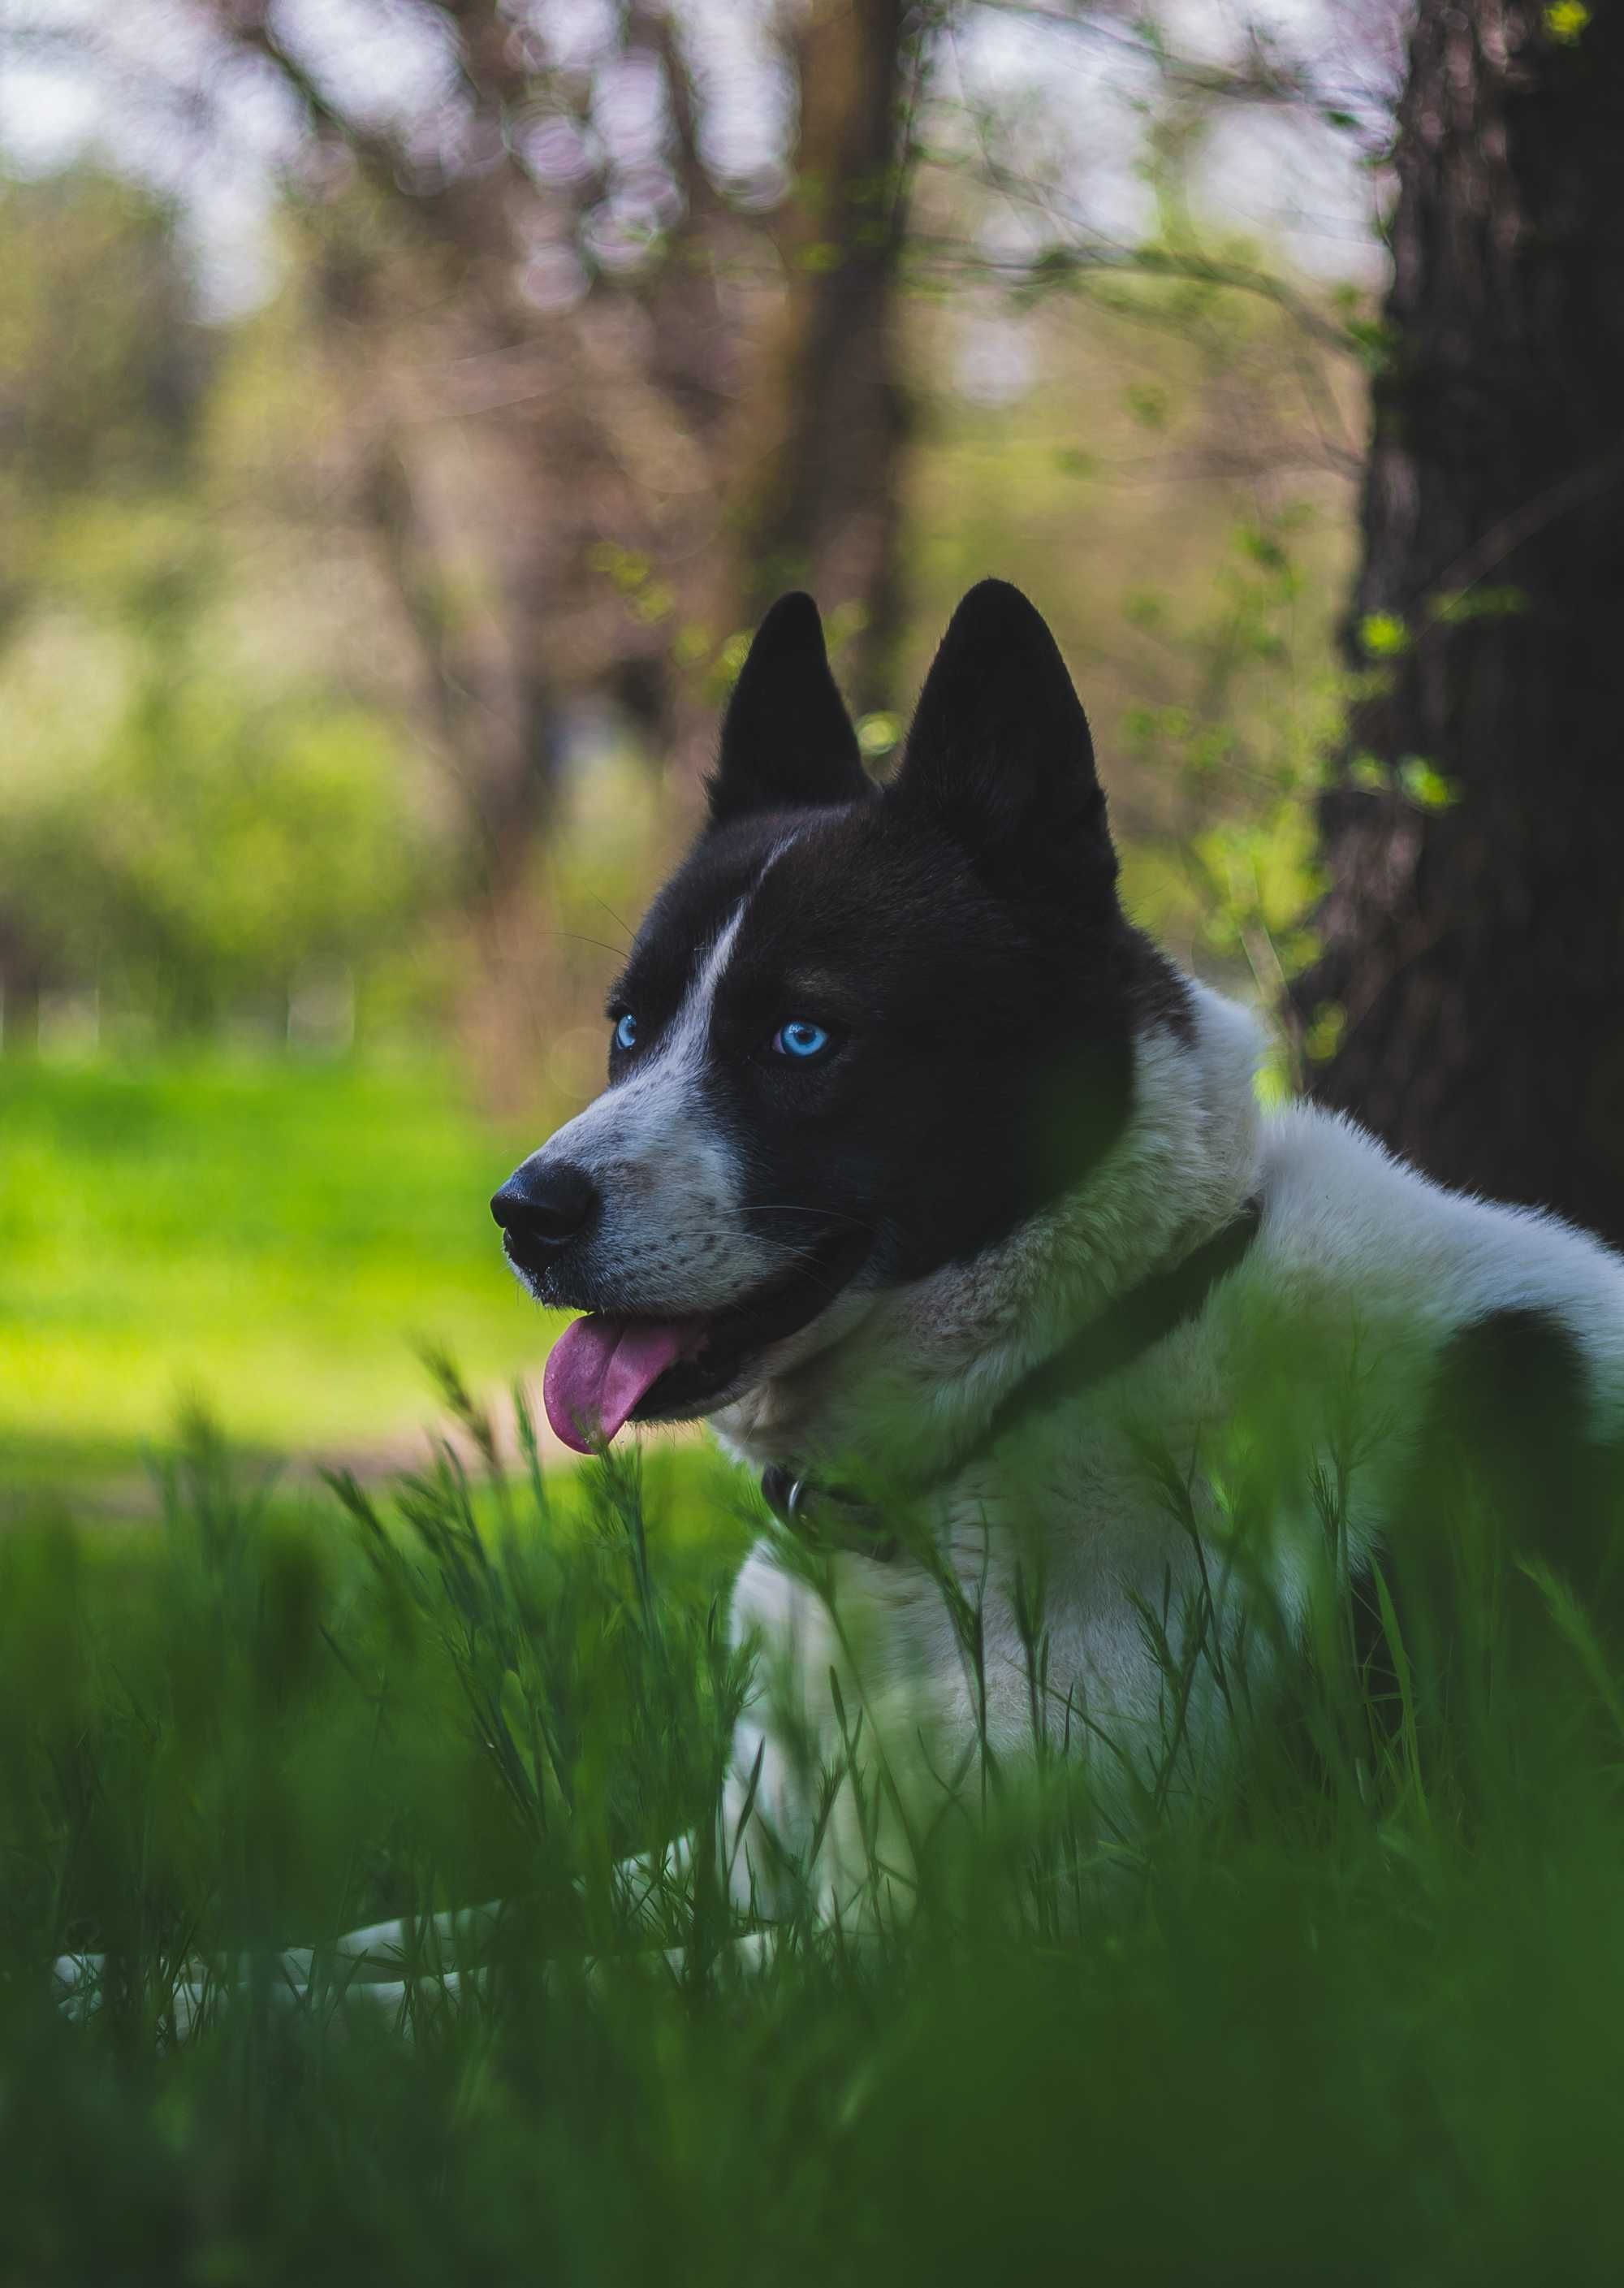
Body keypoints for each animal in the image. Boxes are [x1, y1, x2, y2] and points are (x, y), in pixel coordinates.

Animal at [489, 581, 1624, 1922]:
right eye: (629, 1025)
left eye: (803, 1036)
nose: (523, 1214)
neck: (1065, 1358)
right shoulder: (728, 1860)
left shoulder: (970, 1922)